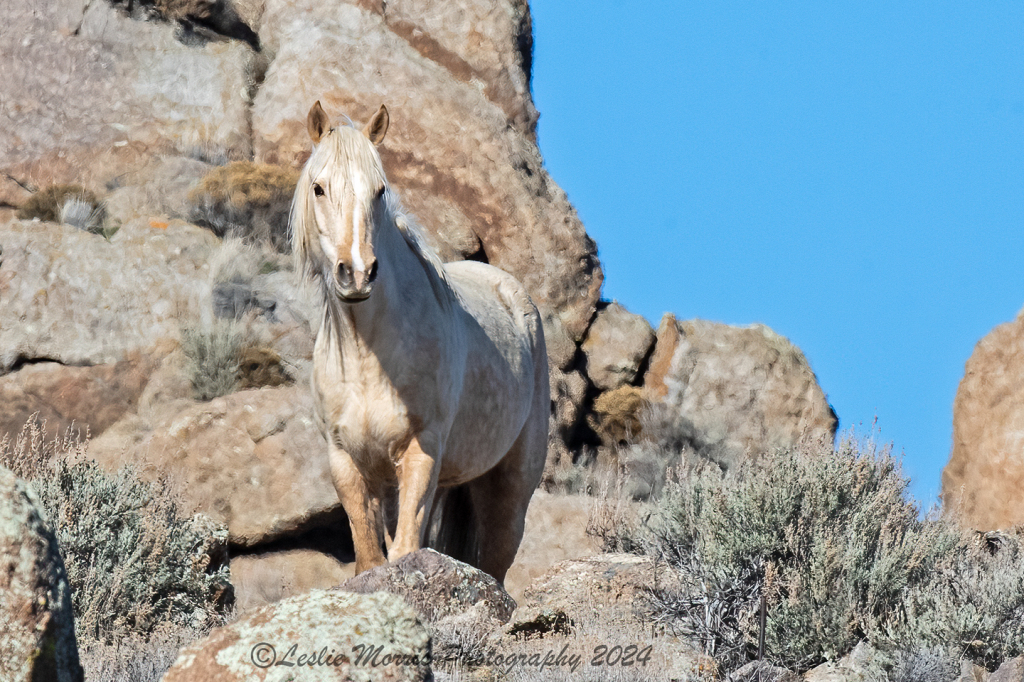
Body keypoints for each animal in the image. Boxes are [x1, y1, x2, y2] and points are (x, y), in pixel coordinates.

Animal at [292, 102, 548, 585]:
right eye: (319, 188)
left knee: (495, 563)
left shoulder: (420, 451)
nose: (357, 273)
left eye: (379, 190)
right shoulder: (346, 462)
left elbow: (405, 552)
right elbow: (371, 559)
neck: (367, 356)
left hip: (510, 488)